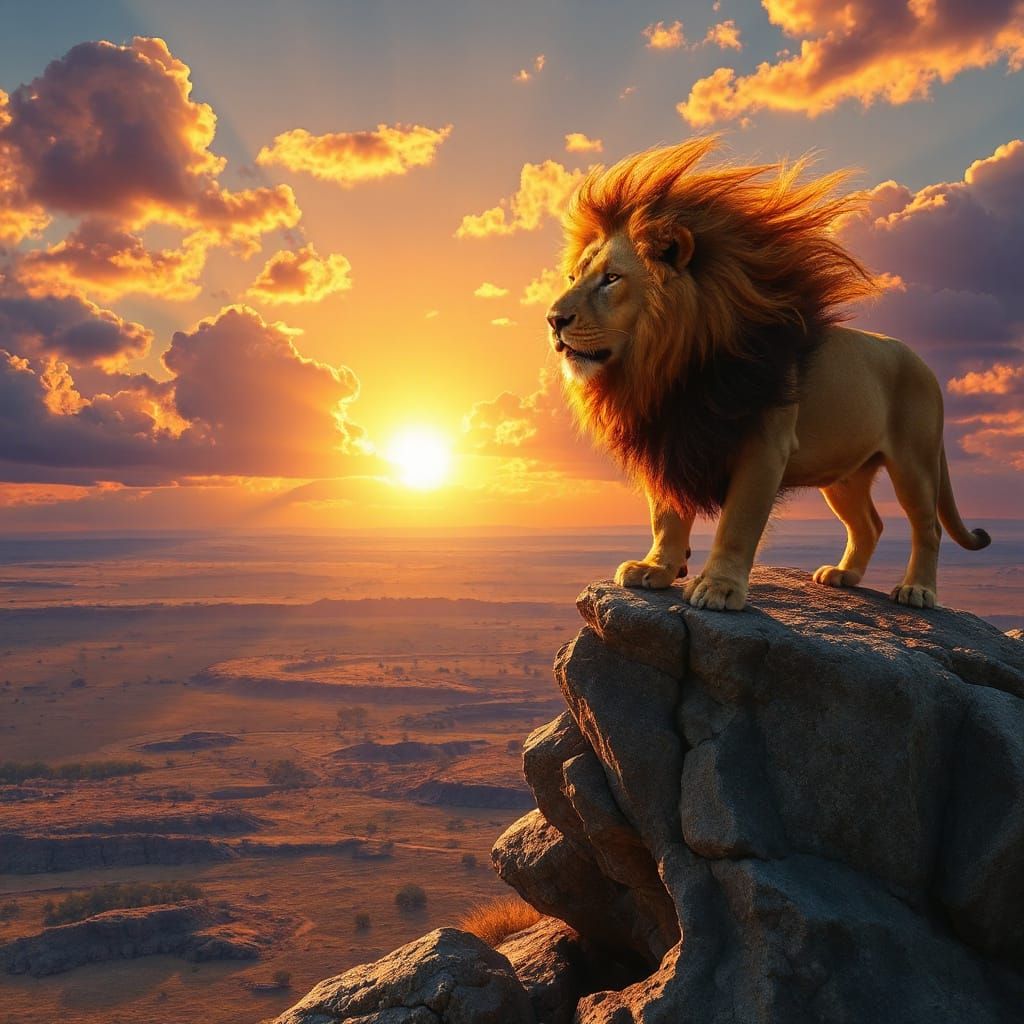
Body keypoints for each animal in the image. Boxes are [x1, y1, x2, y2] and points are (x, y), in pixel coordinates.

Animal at [545, 137, 990, 611]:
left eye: (611, 279)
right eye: (572, 276)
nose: (553, 320)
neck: (668, 366)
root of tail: (922, 361)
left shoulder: (764, 447)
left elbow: (737, 523)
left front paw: (719, 587)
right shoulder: (672, 438)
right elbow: (665, 515)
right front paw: (656, 568)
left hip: (914, 460)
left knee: (928, 526)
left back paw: (917, 590)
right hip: (844, 472)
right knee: (870, 523)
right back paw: (844, 575)